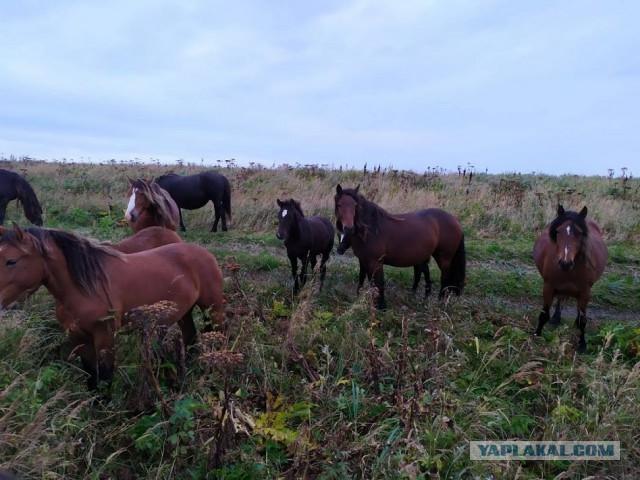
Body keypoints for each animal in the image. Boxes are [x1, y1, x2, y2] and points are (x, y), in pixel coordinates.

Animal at [0, 222, 225, 390]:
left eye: (11, 261)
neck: (87, 286)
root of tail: (204, 252)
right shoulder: (77, 336)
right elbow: (90, 374)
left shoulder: (105, 335)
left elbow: (106, 374)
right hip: (183, 311)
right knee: (190, 335)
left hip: (212, 308)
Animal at [336, 184, 464, 308]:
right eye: (339, 205)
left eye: (355, 205)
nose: (349, 228)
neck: (370, 229)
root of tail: (455, 220)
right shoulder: (363, 260)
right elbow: (366, 279)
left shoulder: (375, 262)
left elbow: (378, 283)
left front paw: (381, 306)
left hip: (444, 258)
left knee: (445, 278)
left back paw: (440, 301)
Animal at [532, 204, 608, 350]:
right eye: (557, 232)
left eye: (580, 233)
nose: (565, 263)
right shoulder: (548, 287)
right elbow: (544, 314)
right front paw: (536, 335)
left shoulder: (585, 292)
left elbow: (583, 320)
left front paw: (582, 345)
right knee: (561, 297)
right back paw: (556, 318)